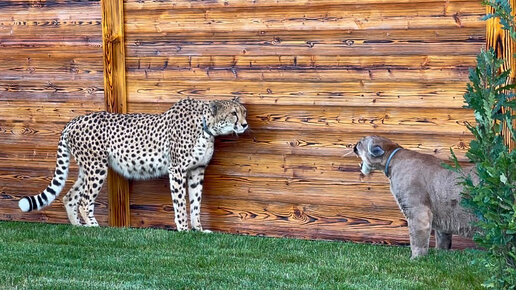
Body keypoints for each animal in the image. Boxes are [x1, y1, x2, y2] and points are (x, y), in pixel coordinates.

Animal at [18, 97, 248, 231]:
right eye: (233, 113)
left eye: (244, 111)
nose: (245, 124)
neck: (205, 127)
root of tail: (74, 120)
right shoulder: (177, 169)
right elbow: (180, 203)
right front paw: (183, 229)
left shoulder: (197, 170)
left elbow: (195, 202)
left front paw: (199, 229)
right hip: (97, 167)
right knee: (84, 200)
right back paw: (94, 228)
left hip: (87, 168)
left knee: (70, 196)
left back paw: (79, 229)